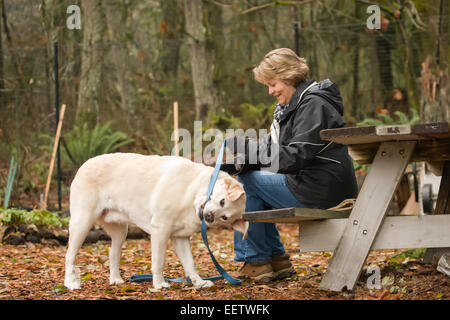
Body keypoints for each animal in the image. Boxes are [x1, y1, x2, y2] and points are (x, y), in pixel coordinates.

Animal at [63, 152, 248, 290]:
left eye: (224, 217)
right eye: (222, 201)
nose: (209, 217)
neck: (191, 193)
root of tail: (85, 164)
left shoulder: (180, 238)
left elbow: (190, 264)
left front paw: (199, 283)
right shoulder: (160, 230)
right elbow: (159, 261)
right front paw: (159, 284)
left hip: (121, 231)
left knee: (112, 254)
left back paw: (115, 279)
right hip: (82, 223)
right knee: (69, 255)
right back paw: (70, 283)